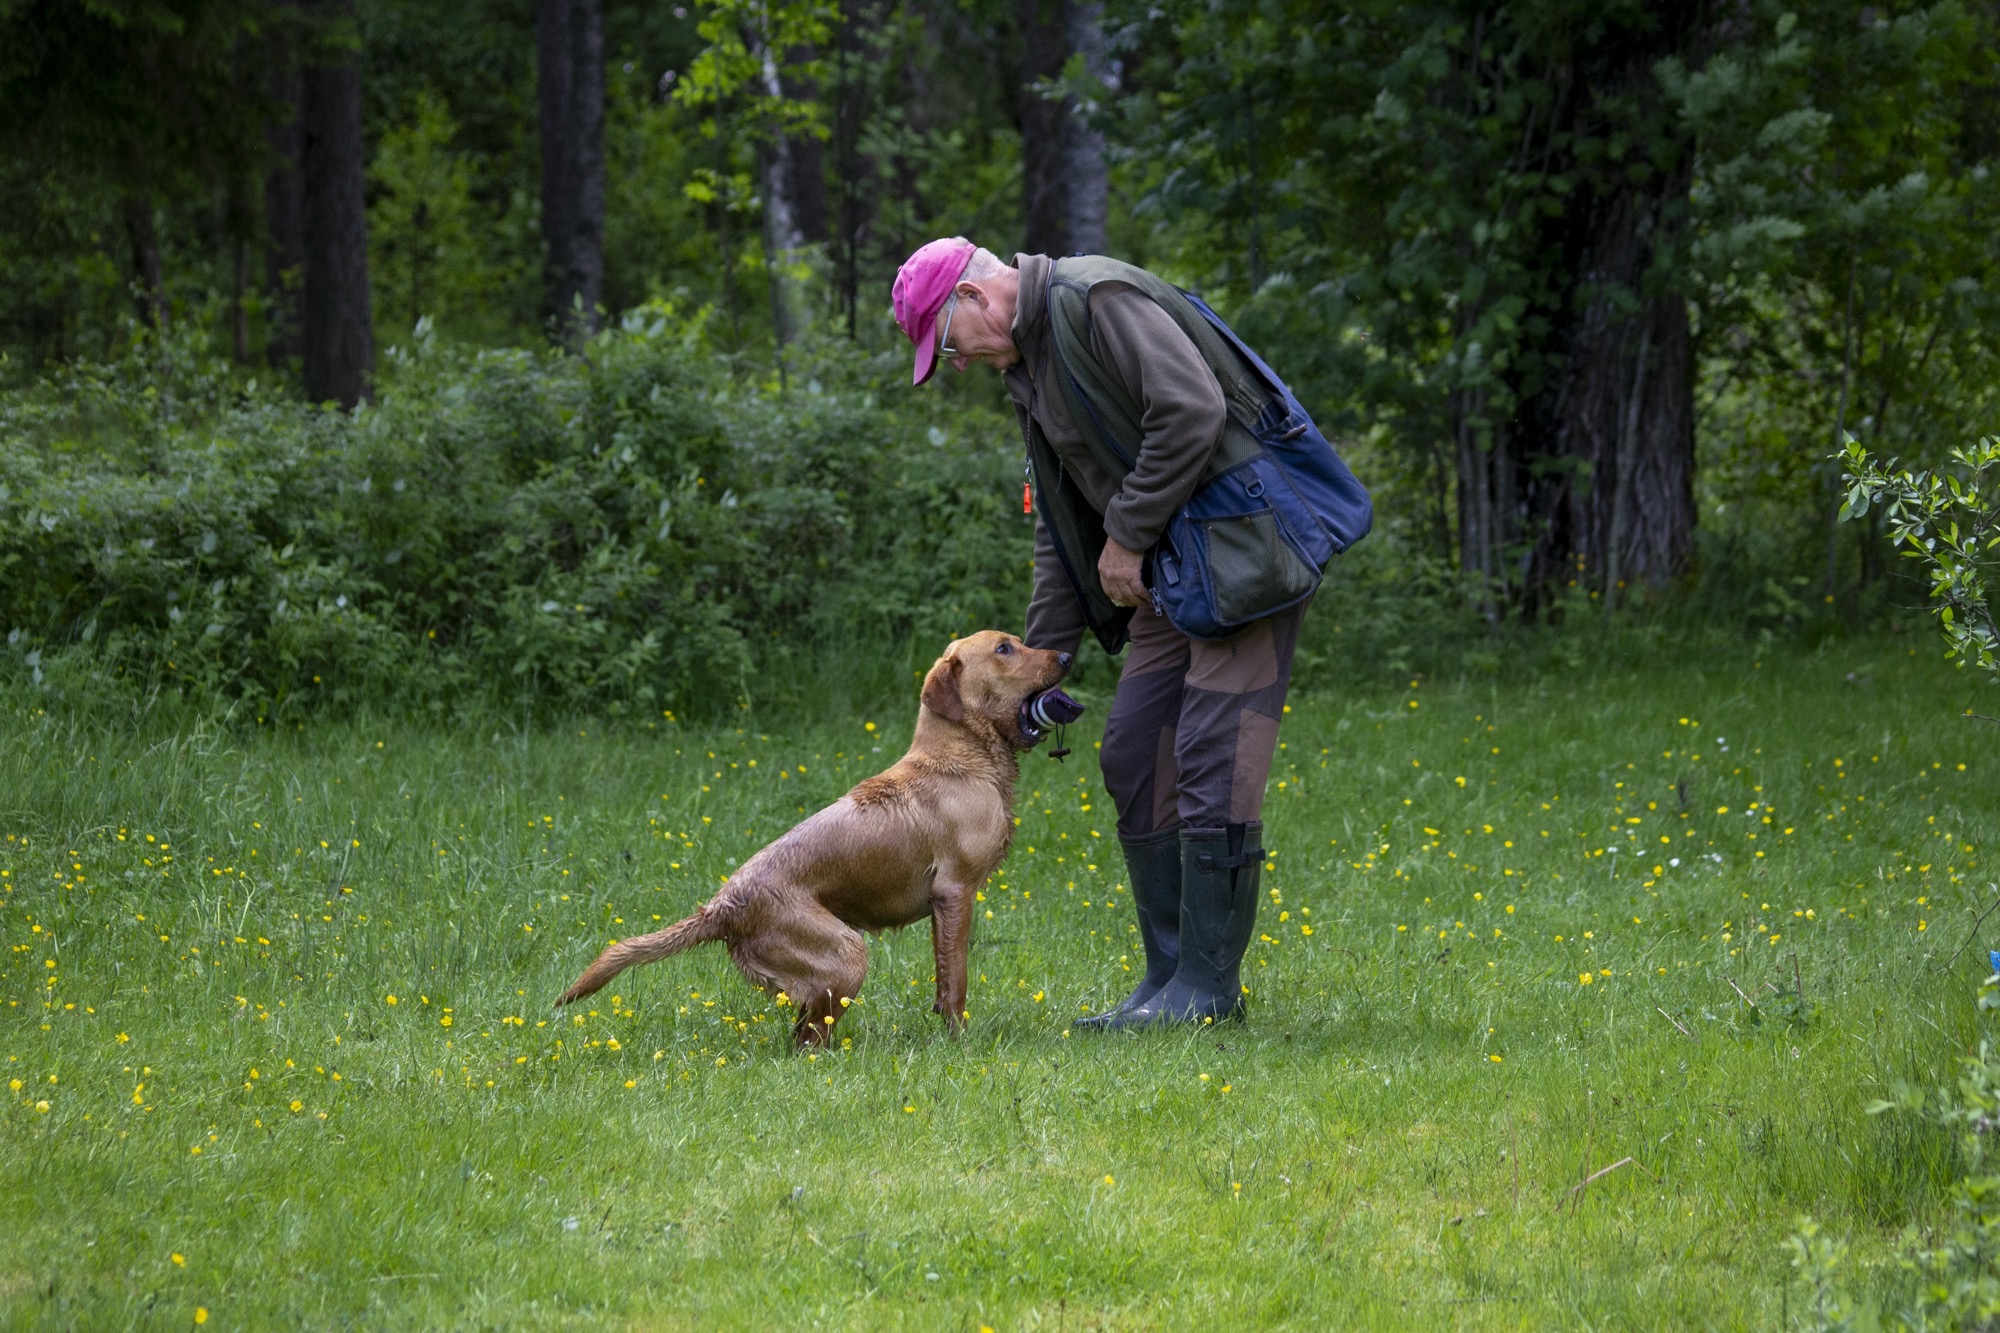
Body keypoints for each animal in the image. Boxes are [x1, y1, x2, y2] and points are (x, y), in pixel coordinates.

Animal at [555, 631, 1076, 1047]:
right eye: (1005, 648)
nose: (1068, 654)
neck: (962, 755)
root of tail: (722, 907)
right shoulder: (955, 893)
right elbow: (955, 984)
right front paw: (960, 1043)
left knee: (801, 1034)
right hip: (847, 954)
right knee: (807, 1041)